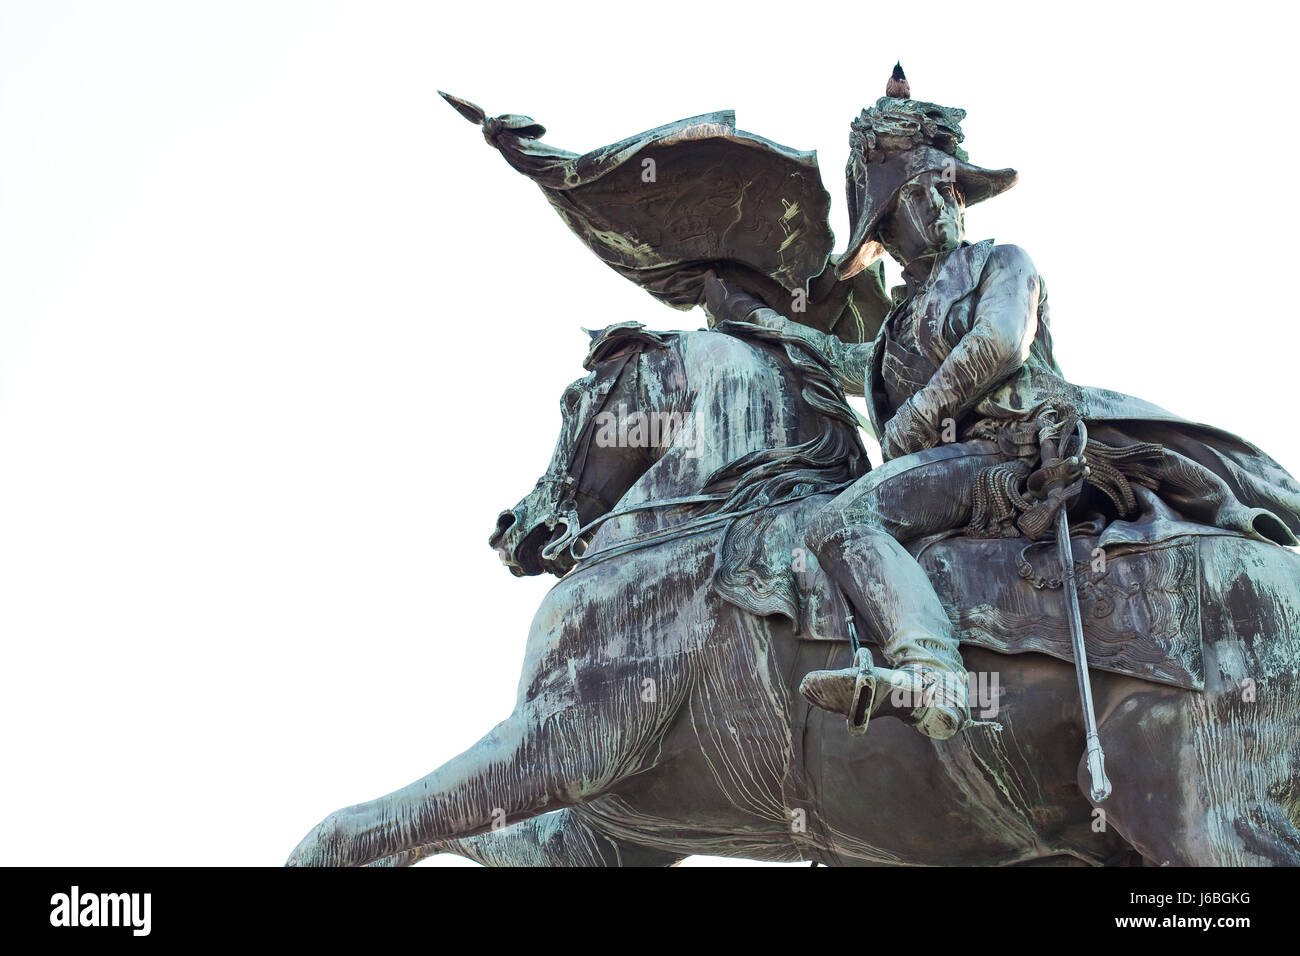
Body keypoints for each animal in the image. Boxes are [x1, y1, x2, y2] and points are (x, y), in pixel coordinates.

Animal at [289, 321, 1300, 868]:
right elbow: (410, 829)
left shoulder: (565, 740)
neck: (696, 529)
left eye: (574, 400)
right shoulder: (605, 829)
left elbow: (351, 825)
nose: (515, 526)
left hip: (1205, 811)